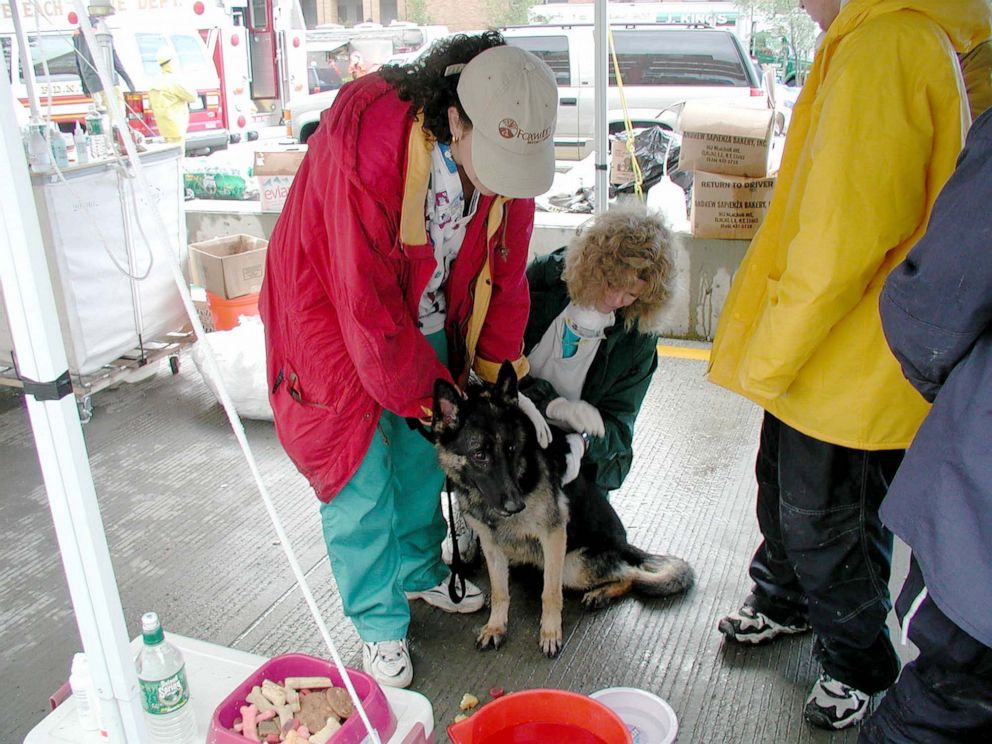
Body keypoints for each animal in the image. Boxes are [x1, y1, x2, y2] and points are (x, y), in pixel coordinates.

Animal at [430, 362, 692, 656]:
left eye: (511, 448)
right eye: (479, 454)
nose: (516, 505)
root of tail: (624, 543)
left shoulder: (553, 536)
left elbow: (551, 593)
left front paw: (550, 633)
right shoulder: (491, 545)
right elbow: (499, 592)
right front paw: (496, 627)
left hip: (573, 565)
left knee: (632, 575)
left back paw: (600, 594)